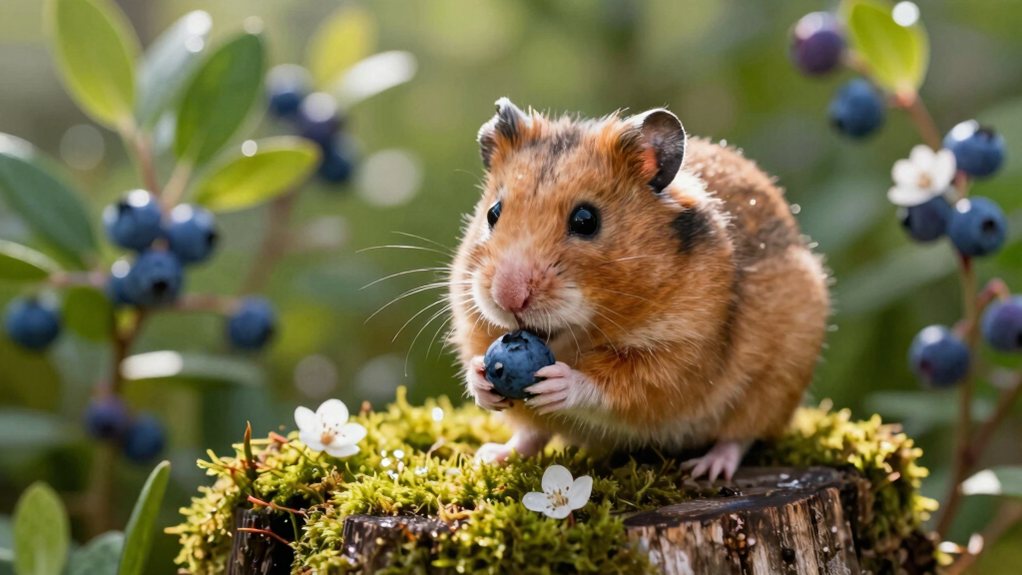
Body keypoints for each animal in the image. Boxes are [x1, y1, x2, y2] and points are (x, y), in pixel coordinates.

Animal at [448, 98, 829, 481]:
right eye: (493, 213)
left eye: (586, 220)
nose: (507, 297)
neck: (574, 336)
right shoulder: (473, 325)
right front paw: (482, 378)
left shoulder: (679, 355)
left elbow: (616, 386)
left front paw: (559, 381)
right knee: (531, 436)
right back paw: (490, 456)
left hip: (774, 385)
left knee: (741, 435)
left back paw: (706, 469)